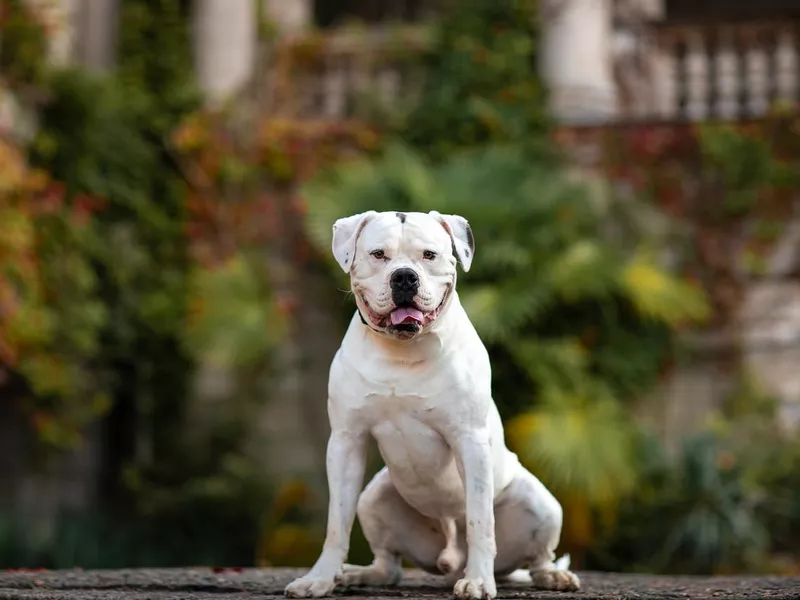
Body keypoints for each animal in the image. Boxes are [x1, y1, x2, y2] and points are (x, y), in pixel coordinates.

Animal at [284, 211, 580, 600]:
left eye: (429, 255)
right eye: (378, 255)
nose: (404, 276)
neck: (402, 351)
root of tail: (450, 560)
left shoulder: (470, 440)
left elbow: (480, 520)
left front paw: (479, 581)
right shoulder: (346, 441)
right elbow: (336, 522)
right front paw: (319, 578)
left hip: (541, 504)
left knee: (538, 556)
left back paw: (550, 576)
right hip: (374, 498)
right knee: (389, 564)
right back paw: (358, 575)